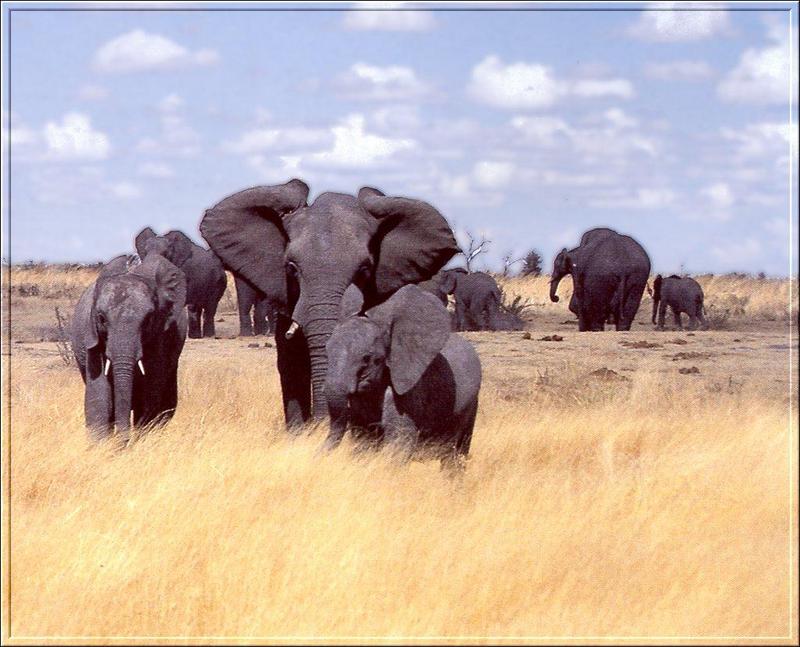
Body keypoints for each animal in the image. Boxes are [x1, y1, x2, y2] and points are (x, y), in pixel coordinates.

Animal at [70, 252, 189, 440]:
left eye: (148, 319)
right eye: (101, 318)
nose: (123, 439)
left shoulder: (161, 337)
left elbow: (149, 394)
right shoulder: (93, 338)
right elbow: (99, 394)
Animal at [324, 286, 482, 468]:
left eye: (367, 358)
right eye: (326, 351)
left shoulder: (410, 390)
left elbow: (399, 445)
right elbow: (362, 442)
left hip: (469, 406)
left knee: (455, 455)